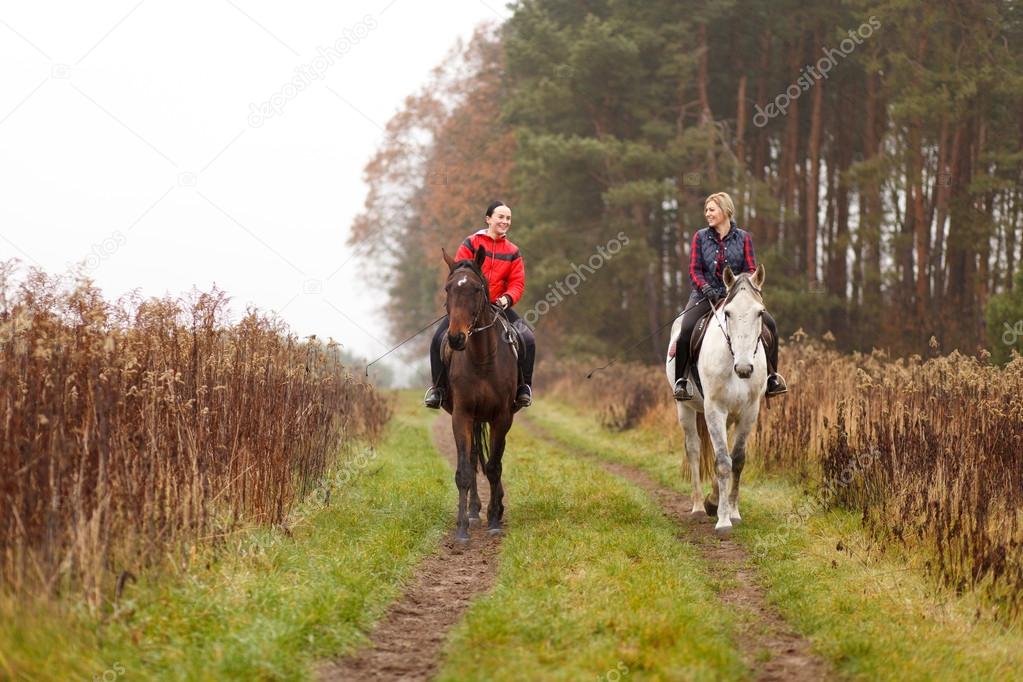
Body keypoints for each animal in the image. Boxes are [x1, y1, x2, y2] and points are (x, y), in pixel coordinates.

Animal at [439, 245, 519, 543]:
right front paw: (462, 527)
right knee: (474, 459)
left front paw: (495, 519)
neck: (483, 358)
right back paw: (474, 511)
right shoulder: (462, 415)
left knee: (494, 460)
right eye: (448, 288)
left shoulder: (502, 417)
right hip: (473, 419)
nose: (456, 338)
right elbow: (464, 470)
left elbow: (494, 466)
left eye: (475, 289)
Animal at [662, 263, 769, 535]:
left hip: (730, 416)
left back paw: (712, 500)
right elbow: (721, 461)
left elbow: (737, 460)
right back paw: (700, 507)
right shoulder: (715, 410)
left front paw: (732, 512)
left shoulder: (749, 411)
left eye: (760, 313)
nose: (745, 368)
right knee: (694, 449)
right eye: (728, 313)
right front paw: (722, 521)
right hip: (686, 408)